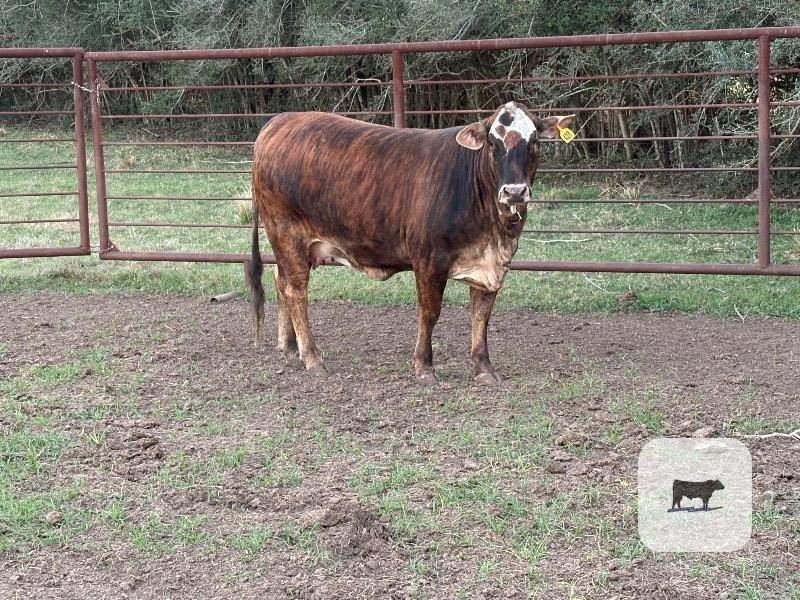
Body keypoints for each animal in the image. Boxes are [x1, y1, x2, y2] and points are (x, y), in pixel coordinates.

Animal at [249, 101, 574, 385]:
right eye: (493, 143)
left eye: (534, 141)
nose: (514, 191)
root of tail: (278, 122)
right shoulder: (429, 261)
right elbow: (429, 313)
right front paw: (424, 368)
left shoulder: (490, 267)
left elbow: (480, 316)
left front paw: (484, 369)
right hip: (287, 234)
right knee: (296, 292)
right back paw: (313, 359)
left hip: (291, 246)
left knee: (281, 282)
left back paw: (290, 350)